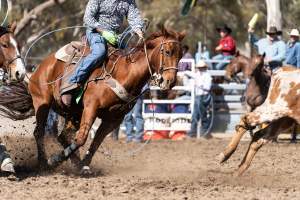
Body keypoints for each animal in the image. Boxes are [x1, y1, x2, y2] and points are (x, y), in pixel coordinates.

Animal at [24, 26, 185, 173]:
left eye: (181, 55)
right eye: (167, 51)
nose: (170, 82)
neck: (124, 74)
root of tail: (42, 65)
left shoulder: (114, 119)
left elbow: (95, 143)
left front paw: (83, 166)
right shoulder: (91, 108)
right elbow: (82, 138)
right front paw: (55, 160)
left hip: (74, 113)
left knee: (63, 137)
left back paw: (73, 162)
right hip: (42, 102)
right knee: (39, 133)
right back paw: (44, 164)